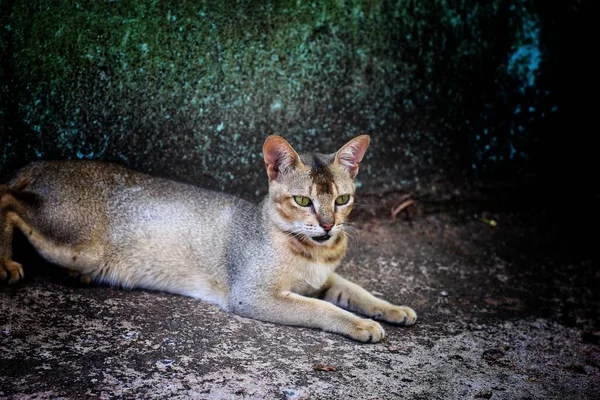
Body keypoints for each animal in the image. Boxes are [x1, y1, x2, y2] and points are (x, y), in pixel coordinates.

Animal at [2, 136, 418, 342]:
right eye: (303, 201)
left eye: (342, 199)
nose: (329, 225)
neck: (314, 254)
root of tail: (42, 163)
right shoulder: (251, 295)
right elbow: (321, 309)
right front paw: (362, 326)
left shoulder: (325, 278)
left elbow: (359, 292)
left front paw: (393, 309)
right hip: (78, 243)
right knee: (6, 198)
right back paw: (7, 265)